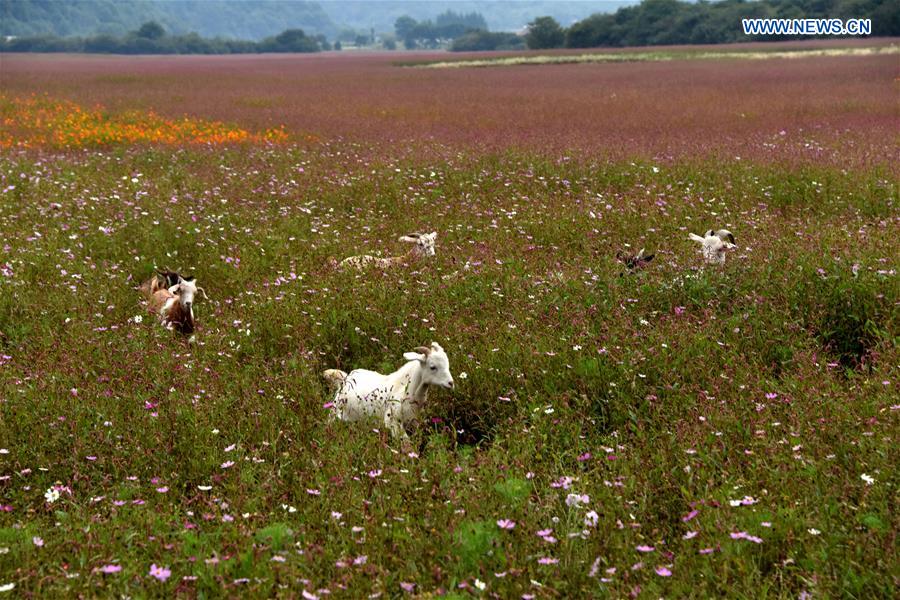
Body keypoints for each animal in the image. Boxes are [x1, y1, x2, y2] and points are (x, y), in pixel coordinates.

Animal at [322, 342, 454, 440]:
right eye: (432, 367)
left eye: (448, 365)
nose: (451, 383)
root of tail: (346, 378)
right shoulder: (393, 421)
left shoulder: (413, 422)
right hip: (335, 412)